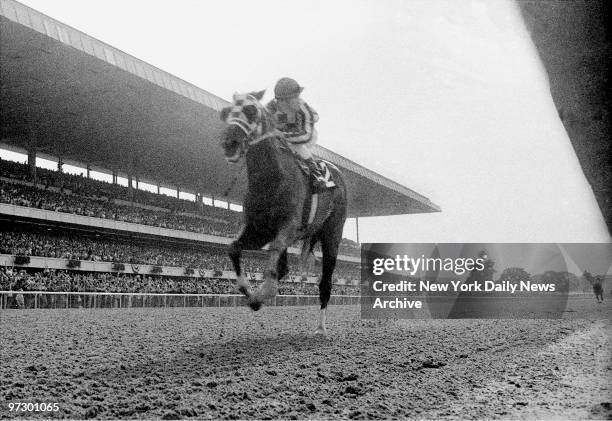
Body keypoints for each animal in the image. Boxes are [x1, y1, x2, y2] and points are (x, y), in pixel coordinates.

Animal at [220, 90, 346, 334]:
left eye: (251, 110)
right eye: (225, 112)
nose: (229, 142)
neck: (271, 178)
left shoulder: (290, 225)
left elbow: (276, 249)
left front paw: (264, 293)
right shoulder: (258, 230)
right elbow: (233, 247)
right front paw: (251, 295)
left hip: (332, 234)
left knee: (325, 282)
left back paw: (321, 327)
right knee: (284, 267)